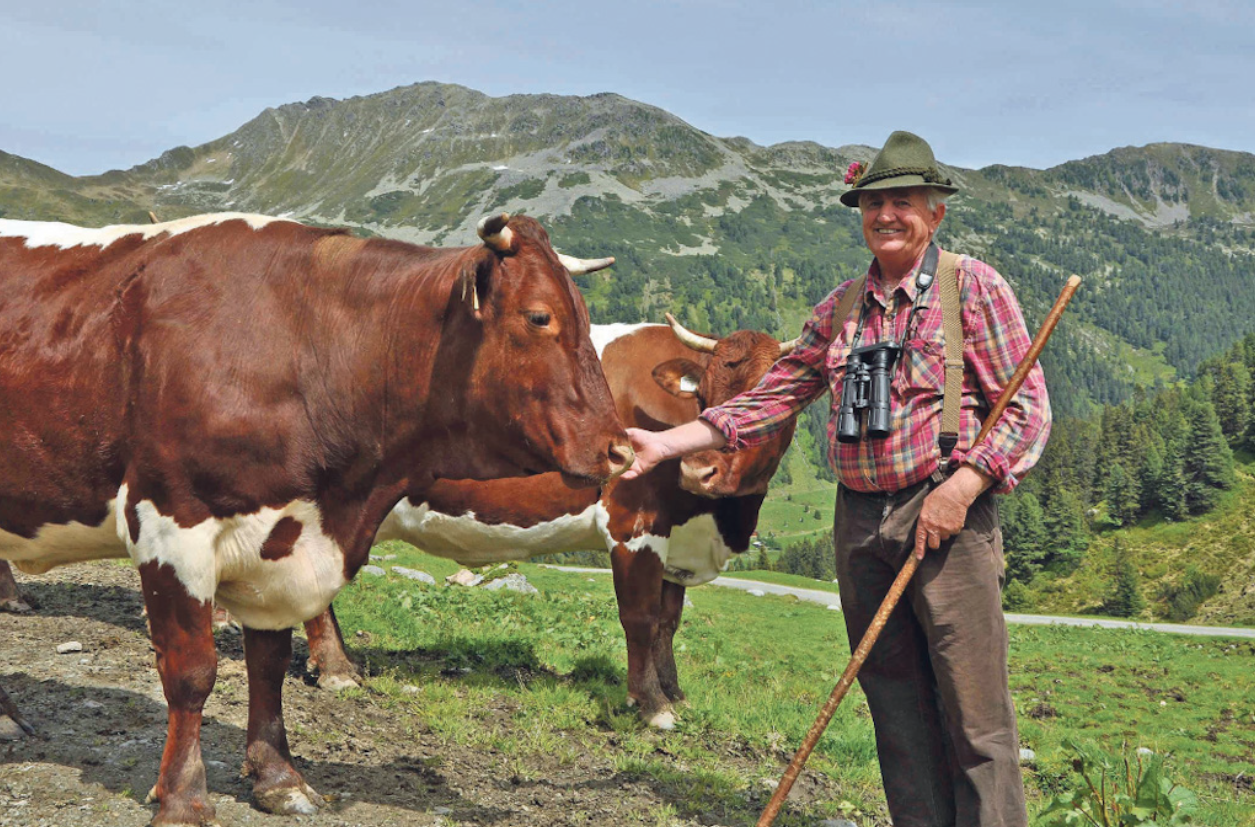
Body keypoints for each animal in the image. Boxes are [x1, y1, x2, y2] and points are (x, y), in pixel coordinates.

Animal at [0, 212, 627, 823]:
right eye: (539, 316)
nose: (621, 450)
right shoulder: (169, 522)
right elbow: (191, 673)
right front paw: (182, 799)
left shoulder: (280, 541)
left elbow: (269, 665)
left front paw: (279, 780)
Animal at [298, 317, 798, 732]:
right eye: (703, 398)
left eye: (768, 404)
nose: (697, 472)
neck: (717, 526)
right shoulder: (633, 522)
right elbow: (640, 617)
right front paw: (652, 706)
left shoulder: (677, 542)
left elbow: (667, 623)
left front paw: (674, 693)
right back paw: (336, 671)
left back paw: (338, 665)